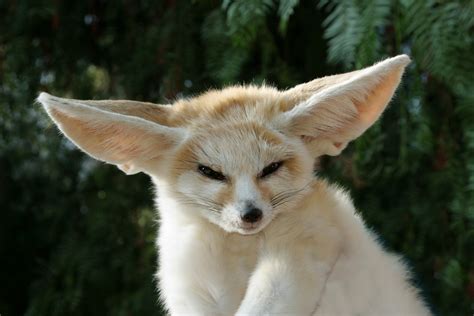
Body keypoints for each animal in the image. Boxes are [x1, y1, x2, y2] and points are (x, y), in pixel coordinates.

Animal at [39, 55, 432, 314]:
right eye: (210, 172)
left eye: (271, 168)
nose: (251, 214)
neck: (235, 254)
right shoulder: (194, 292)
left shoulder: (300, 256)